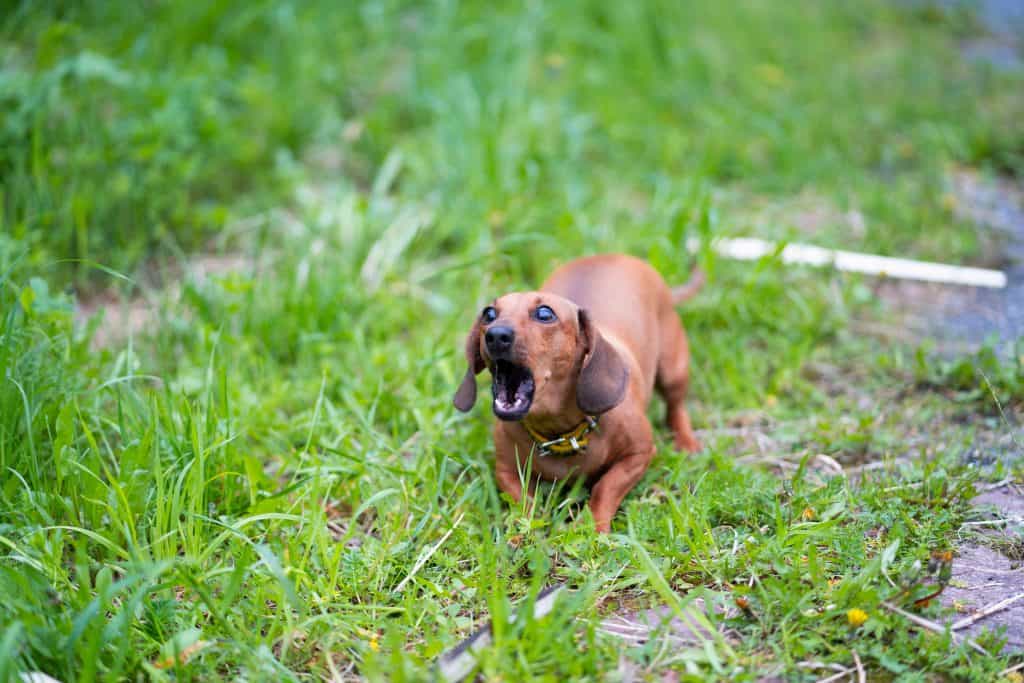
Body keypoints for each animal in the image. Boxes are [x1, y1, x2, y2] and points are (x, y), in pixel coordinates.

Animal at [456, 253, 704, 532]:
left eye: (544, 313)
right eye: (489, 313)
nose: (496, 335)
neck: (561, 434)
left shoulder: (639, 454)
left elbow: (606, 486)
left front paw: (594, 527)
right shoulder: (505, 470)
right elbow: (524, 503)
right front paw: (524, 531)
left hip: (673, 370)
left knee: (676, 407)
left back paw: (686, 442)